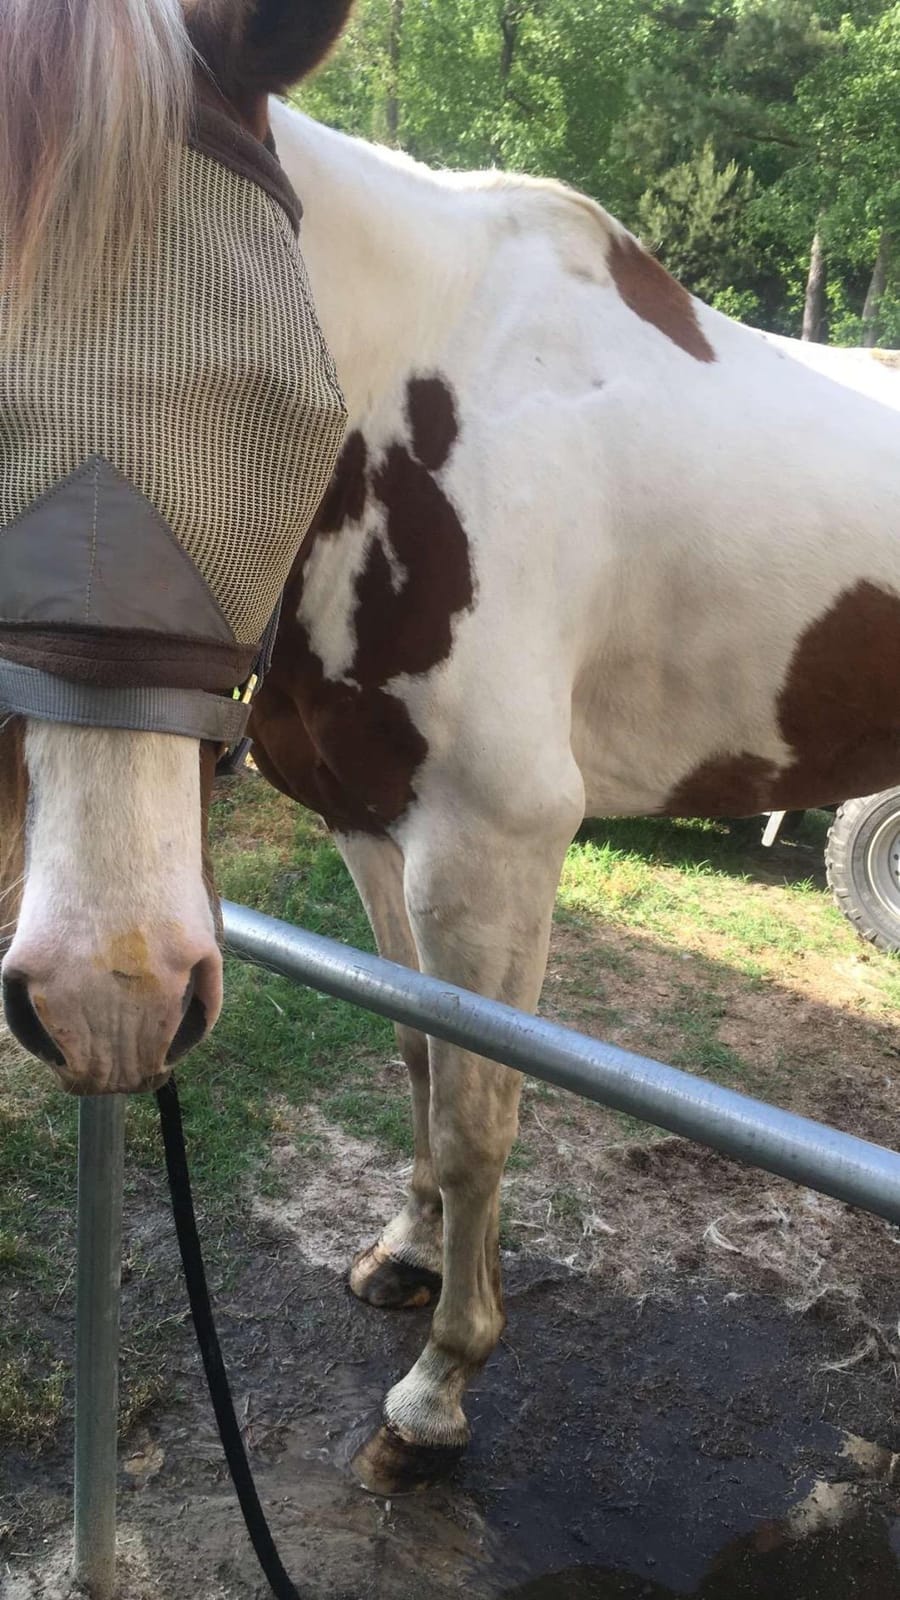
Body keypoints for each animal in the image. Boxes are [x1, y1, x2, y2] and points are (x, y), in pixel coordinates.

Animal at [1, 1, 899, 1503]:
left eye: (276, 397)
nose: (103, 1000)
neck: (425, 397)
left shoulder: (494, 844)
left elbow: (484, 1111)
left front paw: (437, 1390)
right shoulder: (373, 822)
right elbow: (422, 1058)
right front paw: (409, 1257)